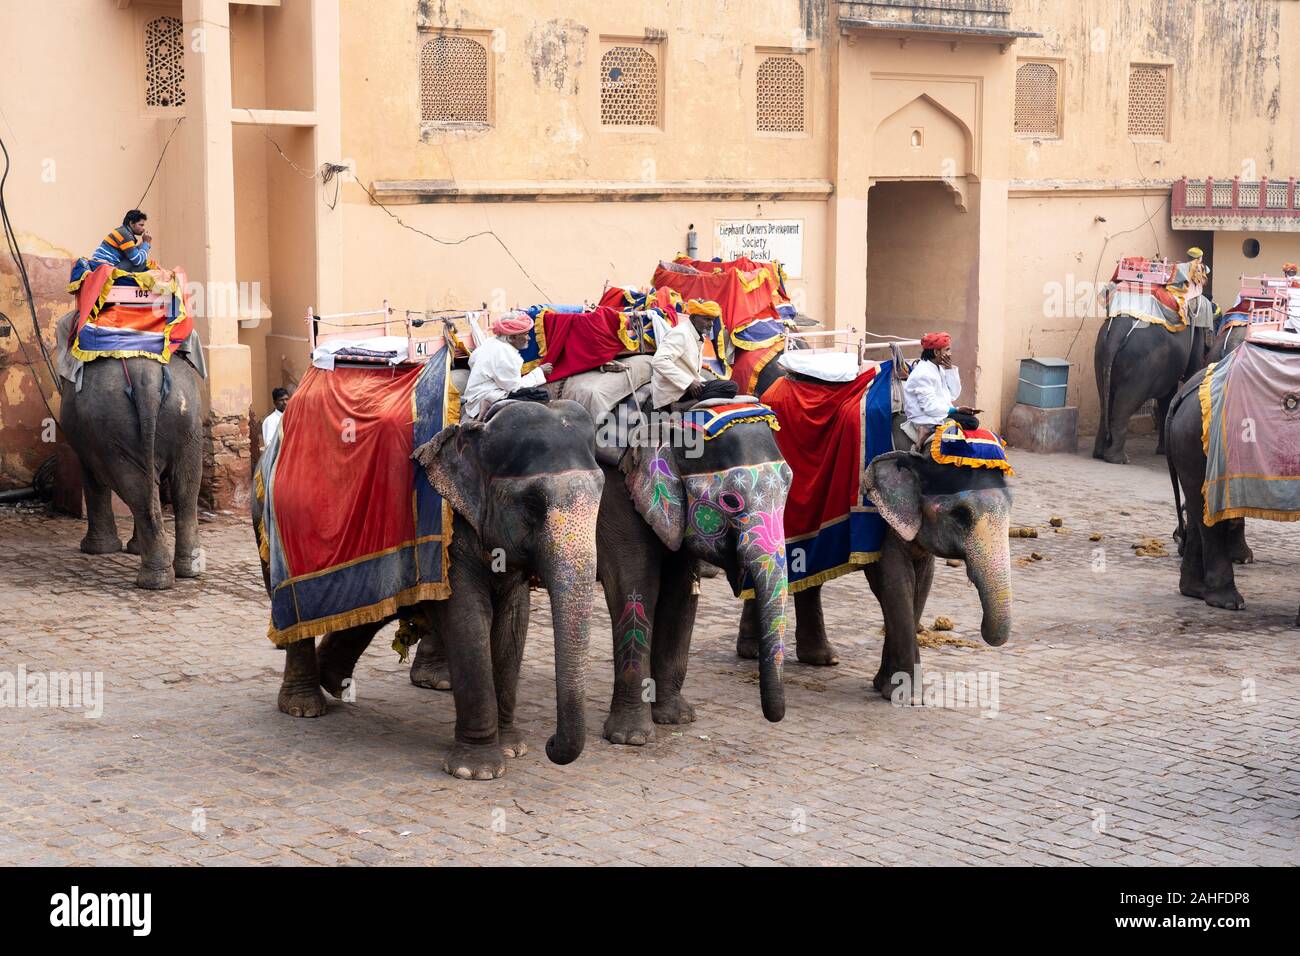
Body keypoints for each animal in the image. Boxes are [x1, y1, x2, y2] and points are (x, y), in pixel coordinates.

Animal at [256, 395, 605, 780]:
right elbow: (468, 619)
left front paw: (513, 748)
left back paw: (332, 680)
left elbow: (514, 621)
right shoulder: (447, 530)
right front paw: (477, 771)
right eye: (532, 504)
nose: (551, 744)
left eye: (602, 493)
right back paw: (303, 706)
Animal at [738, 452, 1008, 697]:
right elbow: (893, 581)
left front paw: (884, 684)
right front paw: (905, 695)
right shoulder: (877, 514)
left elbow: (922, 584)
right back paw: (755, 651)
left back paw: (822, 659)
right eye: (961, 515)